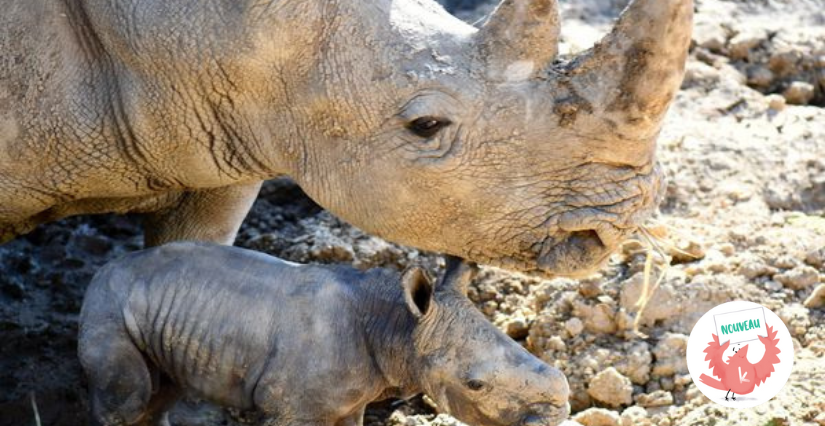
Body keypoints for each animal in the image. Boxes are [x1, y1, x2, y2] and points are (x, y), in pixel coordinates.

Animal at [77, 243, 568, 426]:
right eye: (475, 384)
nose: (557, 413)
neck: (397, 325)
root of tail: (105, 266)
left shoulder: (351, 399)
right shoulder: (289, 407)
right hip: (107, 305)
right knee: (128, 397)